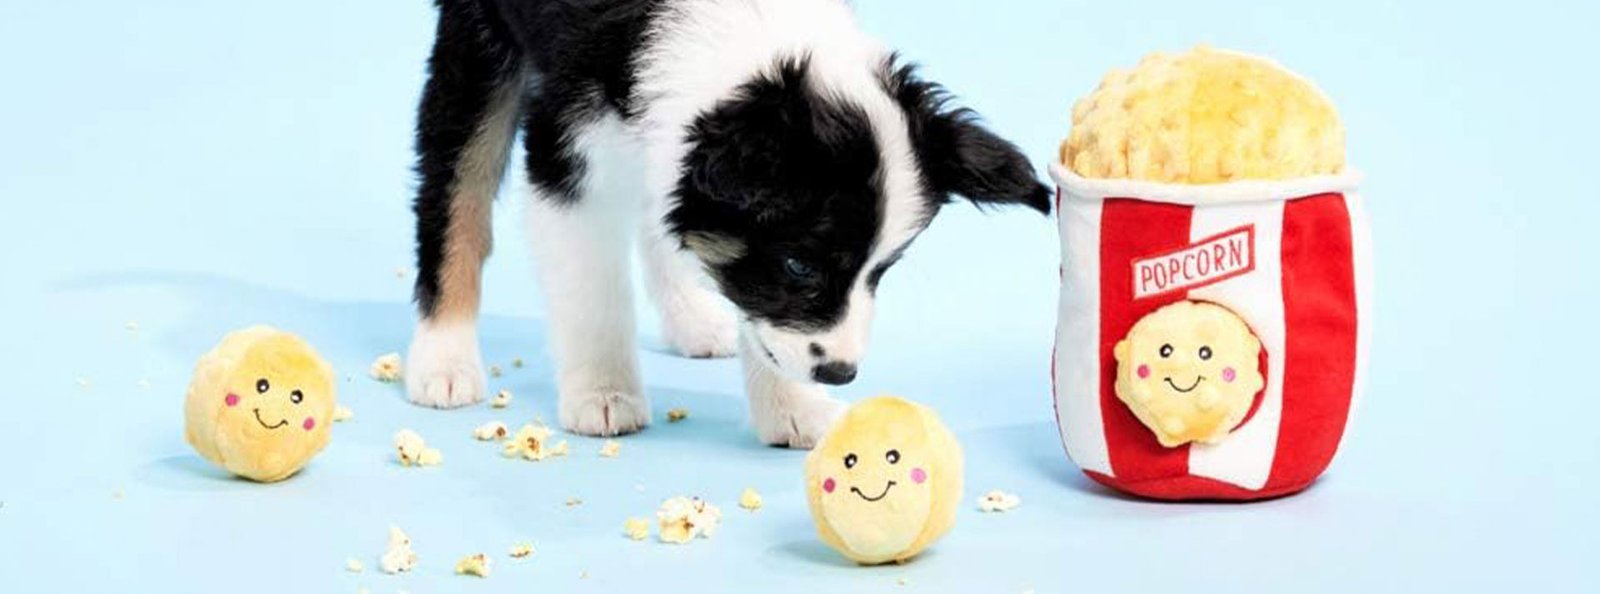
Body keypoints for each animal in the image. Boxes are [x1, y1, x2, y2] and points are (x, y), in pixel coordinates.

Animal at [406, 0, 1043, 448]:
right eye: (799, 264)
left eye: (880, 271)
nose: (840, 374)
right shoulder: (567, 154)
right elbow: (593, 293)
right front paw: (604, 392)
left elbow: (760, 320)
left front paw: (793, 408)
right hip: (478, 45)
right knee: (454, 192)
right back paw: (444, 358)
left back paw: (692, 318)